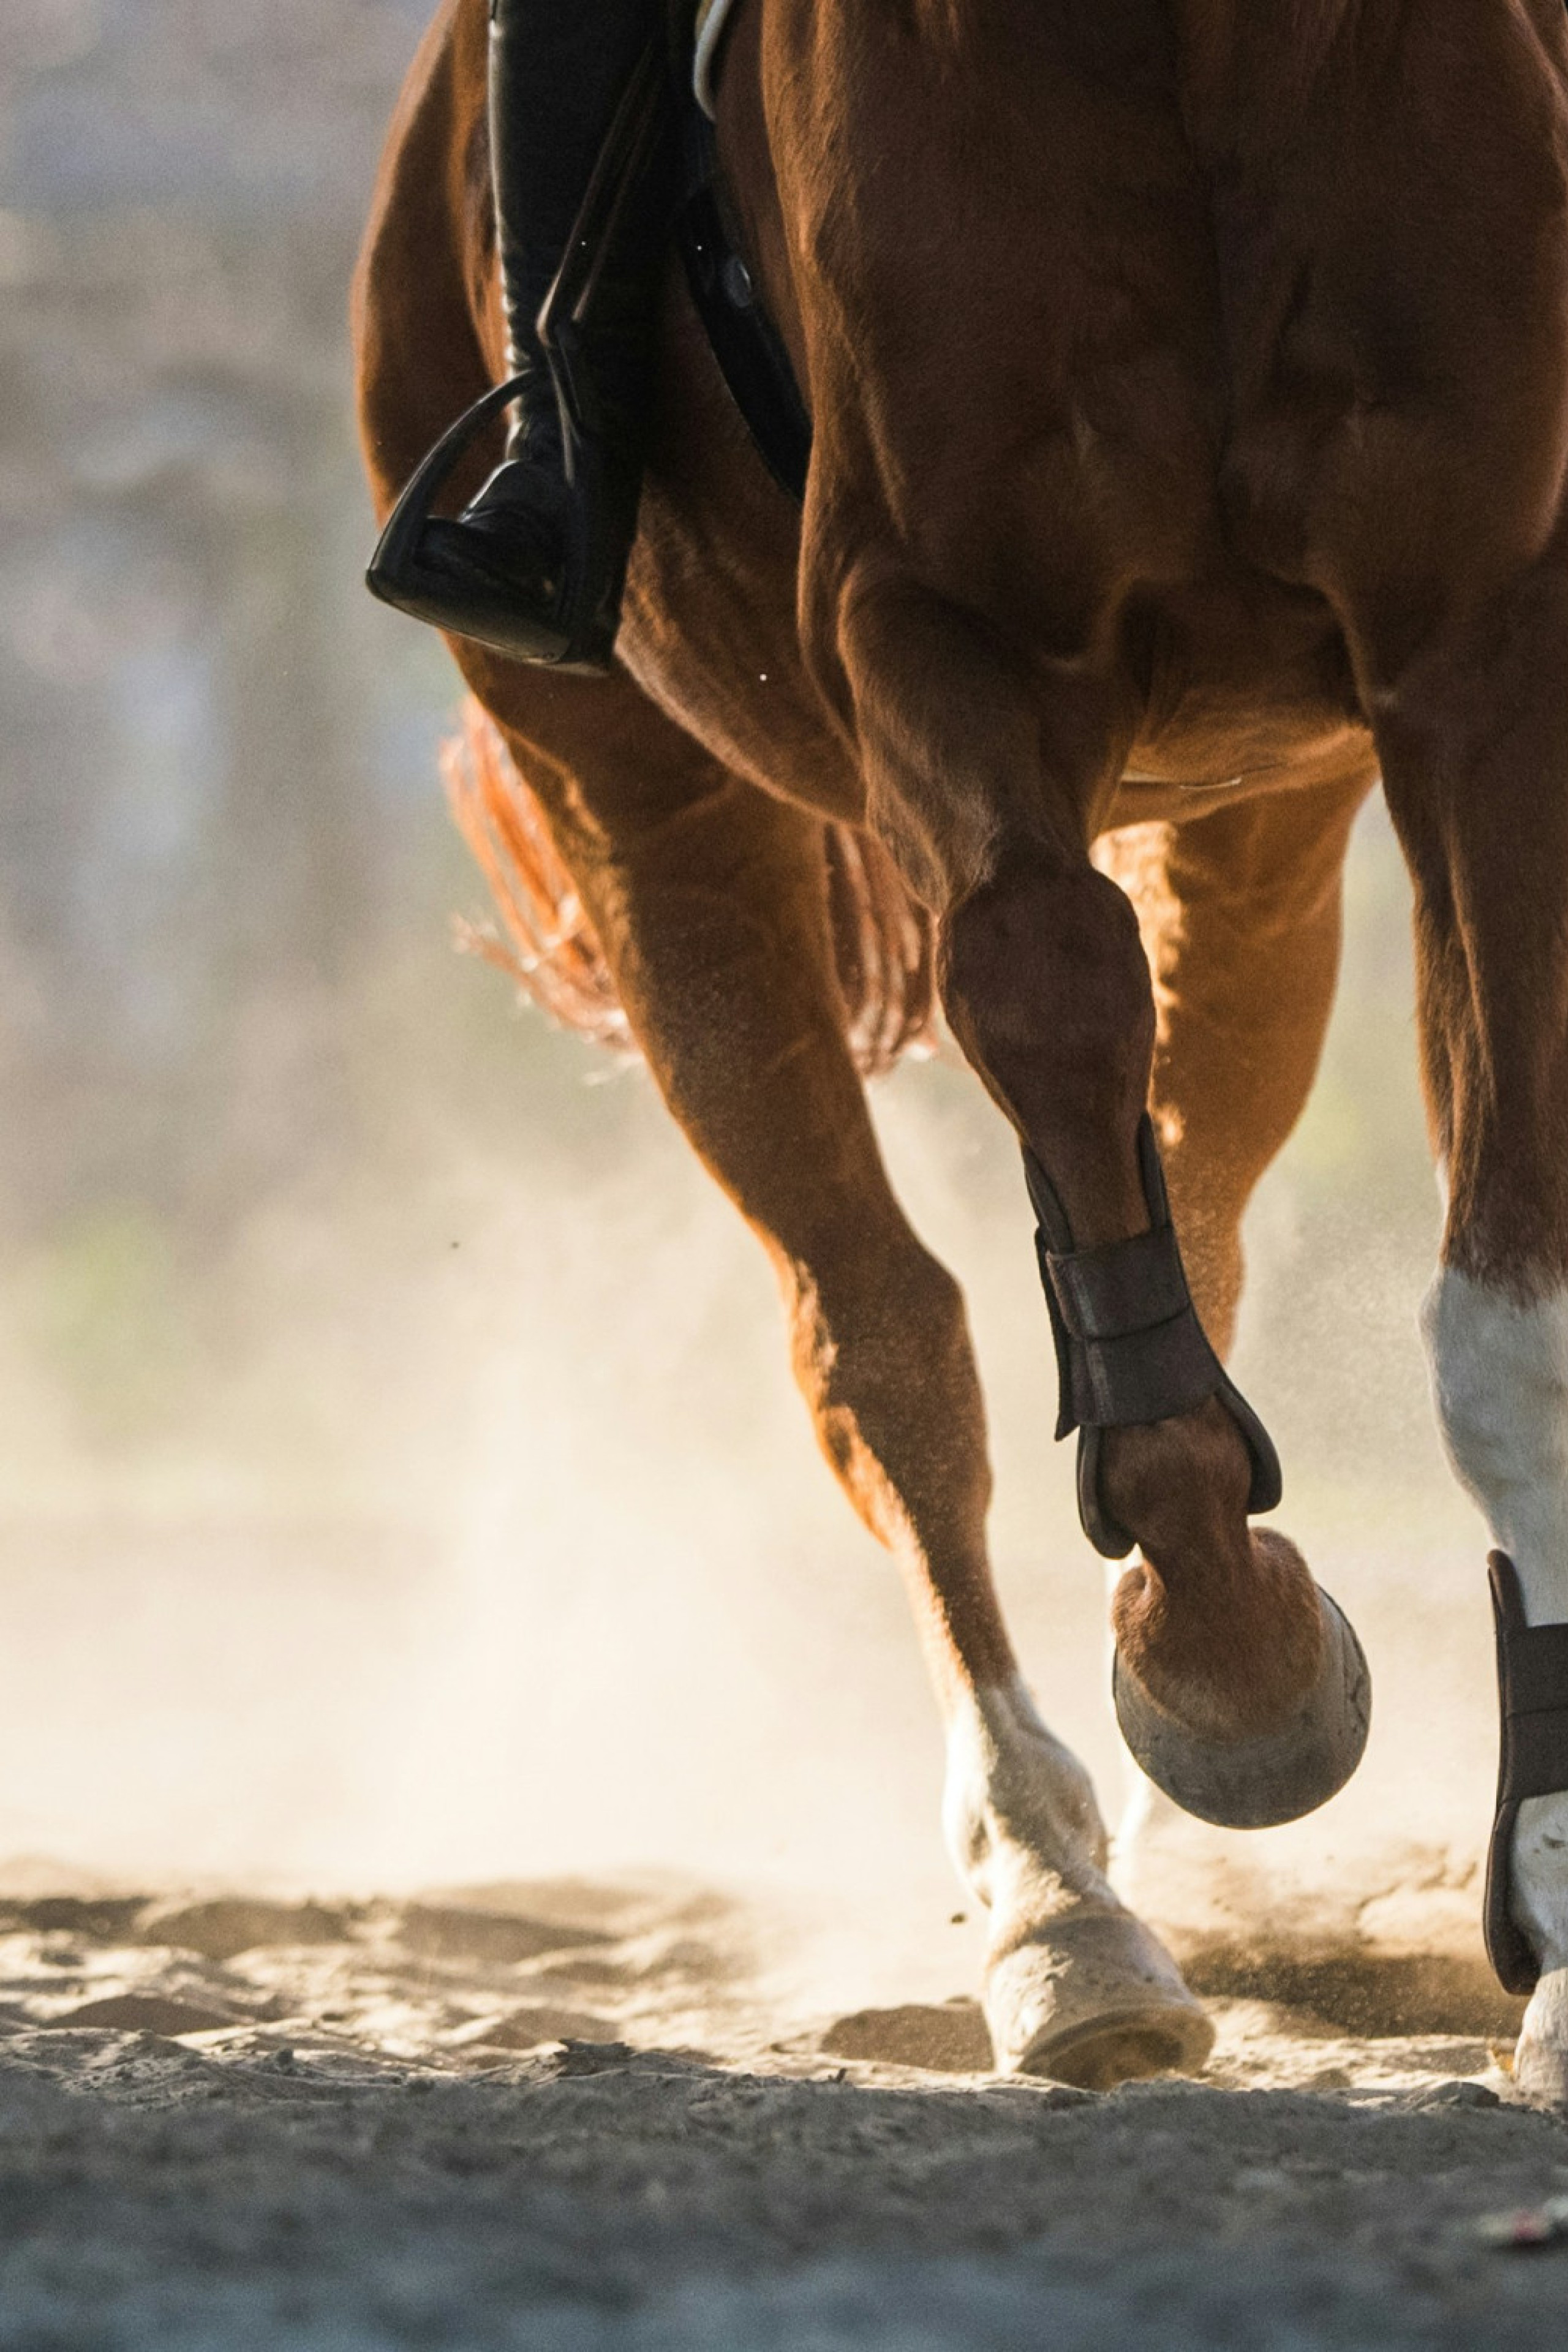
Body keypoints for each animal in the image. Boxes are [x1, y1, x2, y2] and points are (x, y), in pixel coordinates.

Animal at [354, 0, 1568, 2099]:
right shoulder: (937, 628)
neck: (1194, 45)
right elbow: (1043, 992)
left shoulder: (1487, 651)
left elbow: (1503, 1305)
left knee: (1194, 1199)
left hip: (1260, 823)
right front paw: (1224, 1667)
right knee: (880, 1337)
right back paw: (1059, 1906)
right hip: (642, 806)